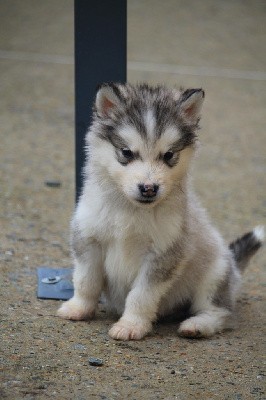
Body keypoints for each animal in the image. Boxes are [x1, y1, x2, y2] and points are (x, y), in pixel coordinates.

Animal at [57, 83, 262, 340]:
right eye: (126, 152)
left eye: (168, 155)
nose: (149, 188)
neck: (130, 210)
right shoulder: (88, 239)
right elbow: (86, 281)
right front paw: (78, 308)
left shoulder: (163, 254)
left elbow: (141, 295)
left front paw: (131, 325)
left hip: (214, 275)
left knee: (221, 312)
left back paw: (197, 325)